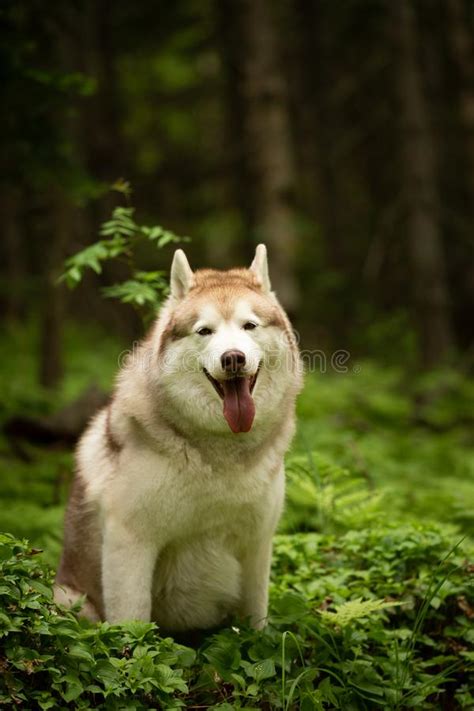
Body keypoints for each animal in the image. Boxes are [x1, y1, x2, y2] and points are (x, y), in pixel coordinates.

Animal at [54, 248, 300, 632]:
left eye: (249, 325)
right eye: (204, 331)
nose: (233, 358)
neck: (222, 451)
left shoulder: (258, 546)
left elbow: (256, 623)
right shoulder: (130, 542)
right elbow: (133, 624)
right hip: (69, 599)